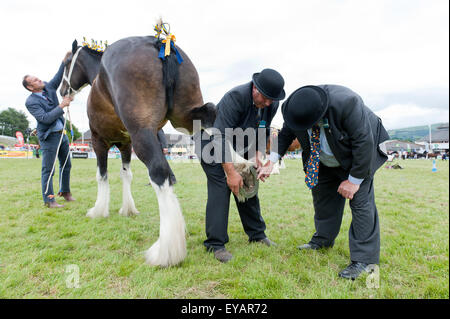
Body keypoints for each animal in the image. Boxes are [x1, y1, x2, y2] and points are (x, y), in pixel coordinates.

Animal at [60, 36, 215, 268]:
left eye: (67, 63)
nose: (62, 91)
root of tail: (157, 42)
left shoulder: (99, 141)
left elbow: (102, 175)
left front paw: (99, 210)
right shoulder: (125, 144)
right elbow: (126, 175)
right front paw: (128, 209)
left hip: (143, 133)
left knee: (160, 173)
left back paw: (165, 252)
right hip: (186, 119)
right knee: (211, 116)